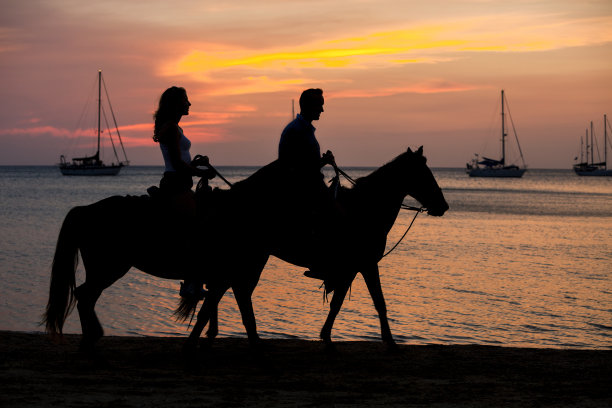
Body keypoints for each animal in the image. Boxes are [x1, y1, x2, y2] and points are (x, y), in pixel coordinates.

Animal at [183, 147, 450, 350]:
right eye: (424, 174)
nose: (443, 205)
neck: (365, 210)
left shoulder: (350, 269)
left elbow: (338, 303)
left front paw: (327, 336)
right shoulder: (366, 265)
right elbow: (378, 302)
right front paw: (390, 341)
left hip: (251, 257)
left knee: (231, 291)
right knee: (227, 291)